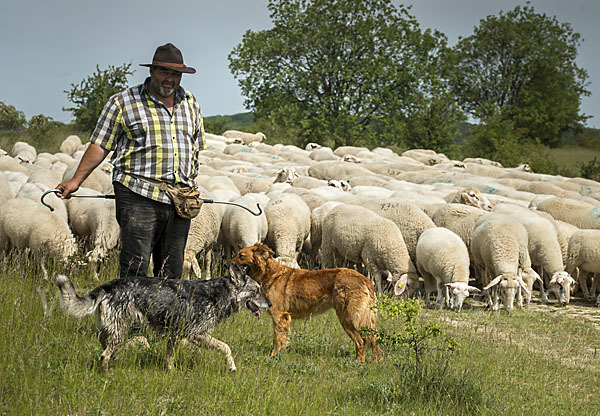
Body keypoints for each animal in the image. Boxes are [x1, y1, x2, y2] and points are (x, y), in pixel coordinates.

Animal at [55, 264, 270, 370]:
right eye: (257, 290)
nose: (270, 304)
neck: (217, 293)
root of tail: (109, 285)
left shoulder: (175, 337)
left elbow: (169, 358)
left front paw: (171, 373)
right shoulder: (196, 335)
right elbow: (226, 347)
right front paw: (232, 366)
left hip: (112, 329)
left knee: (102, 342)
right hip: (121, 331)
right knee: (104, 354)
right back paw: (106, 373)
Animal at [230, 242, 380, 362]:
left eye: (241, 255)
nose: (227, 264)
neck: (270, 274)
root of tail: (365, 279)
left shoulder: (280, 316)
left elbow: (277, 339)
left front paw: (273, 356)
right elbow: (283, 339)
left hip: (348, 318)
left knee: (360, 342)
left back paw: (358, 363)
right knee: (375, 341)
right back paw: (376, 363)